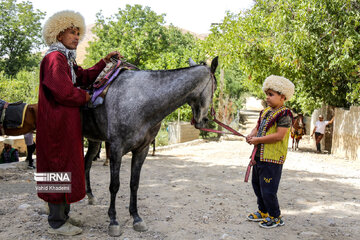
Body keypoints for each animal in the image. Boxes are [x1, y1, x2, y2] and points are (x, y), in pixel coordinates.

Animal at [83, 56, 218, 236]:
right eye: (215, 87)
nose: (204, 120)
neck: (141, 99)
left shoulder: (142, 150)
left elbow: (134, 184)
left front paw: (136, 218)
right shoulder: (116, 149)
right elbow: (114, 185)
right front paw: (113, 221)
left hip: (94, 140)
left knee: (86, 164)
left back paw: (90, 196)